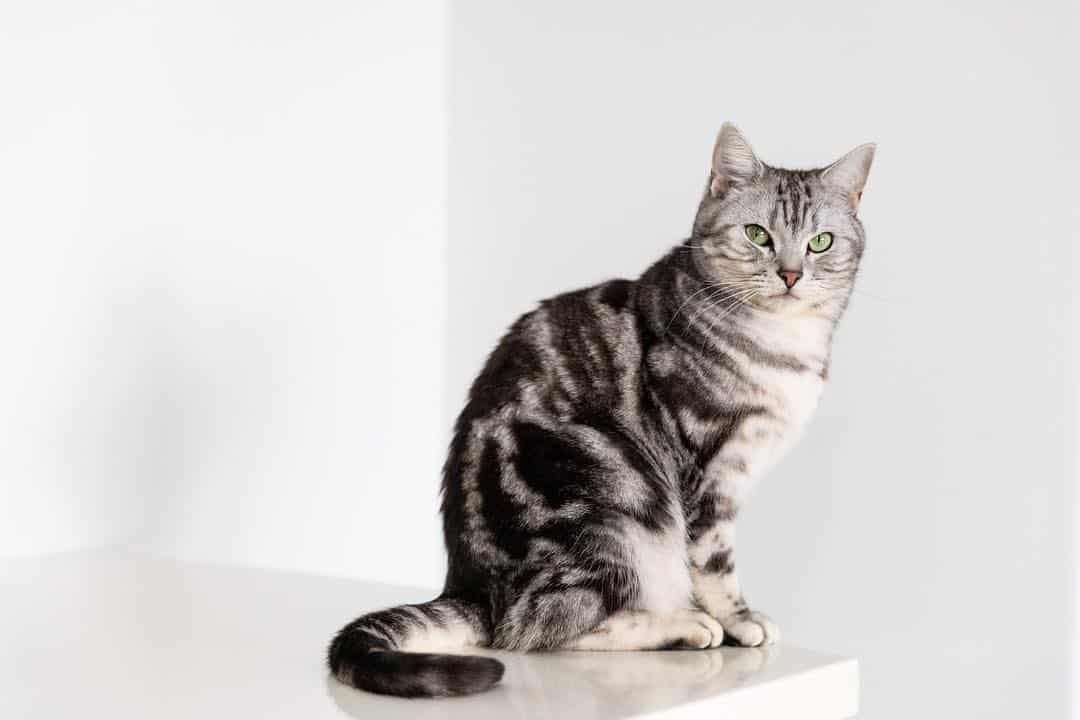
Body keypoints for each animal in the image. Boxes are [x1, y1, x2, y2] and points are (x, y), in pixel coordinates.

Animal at [324, 125, 872, 699]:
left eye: (820, 242)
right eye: (757, 235)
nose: (790, 274)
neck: (782, 341)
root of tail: (470, 588)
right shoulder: (706, 470)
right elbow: (714, 562)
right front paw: (738, 619)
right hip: (615, 502)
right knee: (538, 627)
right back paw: (680, 624)